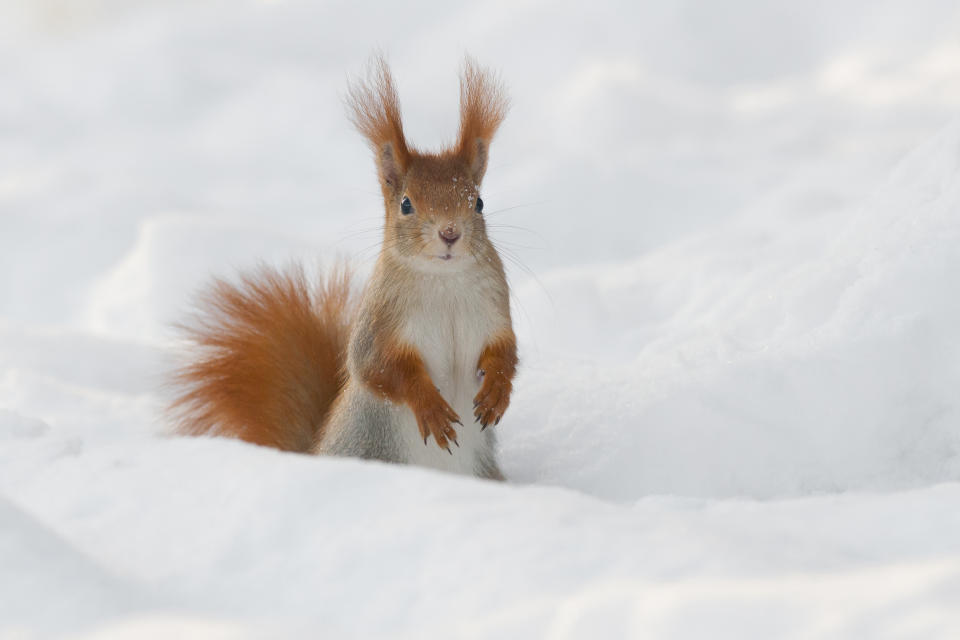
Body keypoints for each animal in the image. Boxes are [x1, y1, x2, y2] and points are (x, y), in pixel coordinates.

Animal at [172, 57, 516, 480]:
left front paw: (497, 390)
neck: (444, 280)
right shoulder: (380, 323)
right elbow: (377, 367)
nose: (450, 233)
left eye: (479, 202)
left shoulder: (495, 309)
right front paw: (430, 407)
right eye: (406, 204)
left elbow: (506, 352)